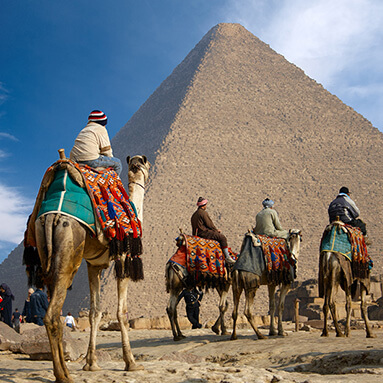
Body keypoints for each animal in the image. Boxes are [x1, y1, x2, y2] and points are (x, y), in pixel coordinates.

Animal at [33, 155, 150, 383]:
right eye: (146, 164)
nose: (145, 167)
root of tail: (50, 217)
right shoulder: (124, 257)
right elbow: (121, 312)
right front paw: (131, 363)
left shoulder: (94, 265)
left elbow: (95, 312)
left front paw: (91, 364)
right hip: (70, 253)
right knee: (52, 316)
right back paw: (63, 375)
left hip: (46, 251)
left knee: (56, 312)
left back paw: (63, 371)